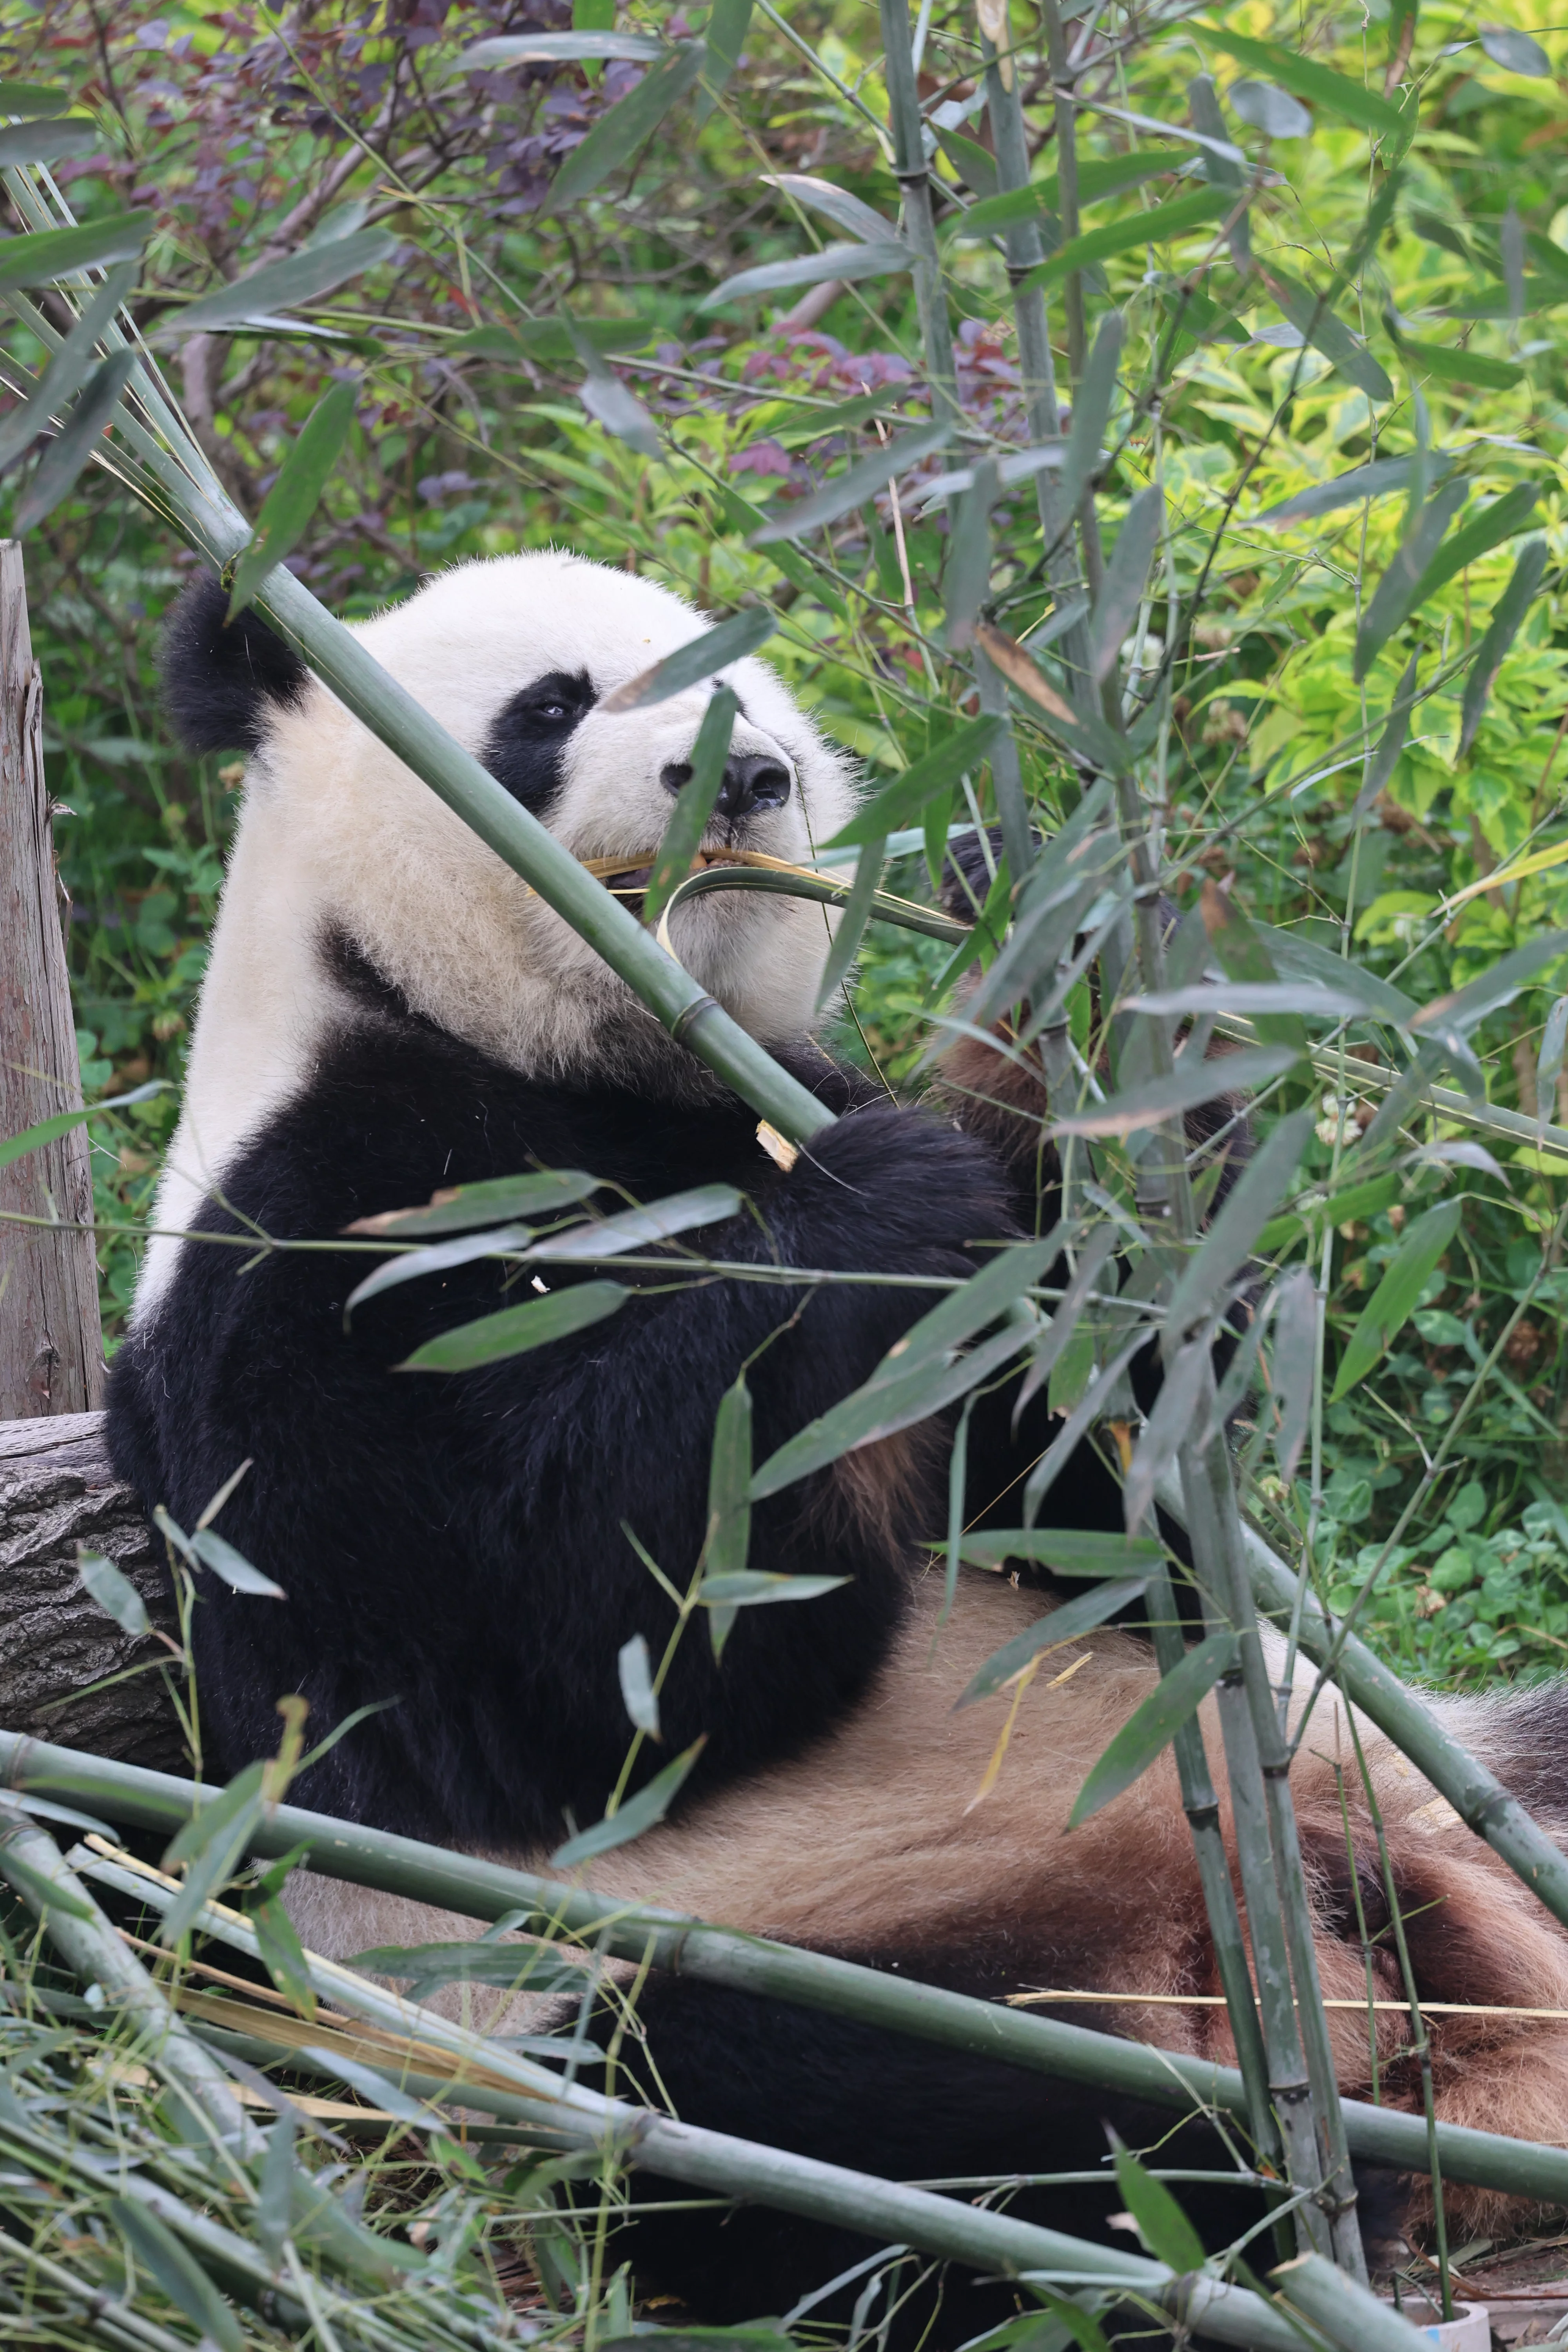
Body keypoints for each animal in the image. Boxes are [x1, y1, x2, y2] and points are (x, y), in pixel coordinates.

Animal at [108, 551, 1568, 2333]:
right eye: (552, 704)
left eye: (759, 698)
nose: (739, 777)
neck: (558, 1054)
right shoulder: (312, 1248)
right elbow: (544, 1660)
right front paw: (876, 1204)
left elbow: (1110, 1502)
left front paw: (1054, 946)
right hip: (648, 1980)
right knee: (824, 2120)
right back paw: (1254, 2187)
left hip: (1406, 1789)